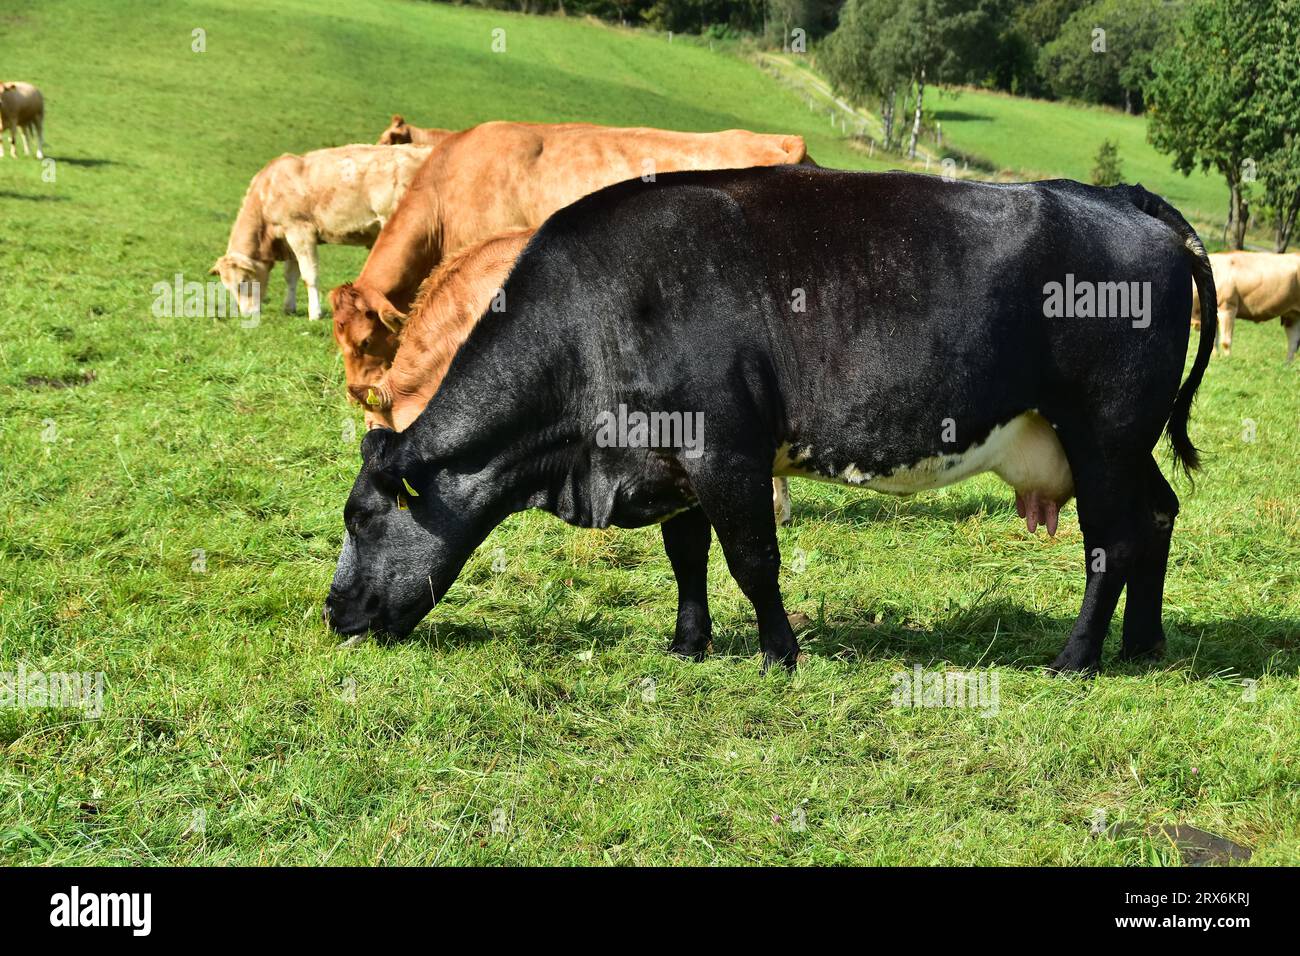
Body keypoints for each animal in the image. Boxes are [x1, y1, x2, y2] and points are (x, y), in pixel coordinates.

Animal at [211, 144, 433, 320]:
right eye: (227, 287)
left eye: (243, 282)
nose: (247, 315)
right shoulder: (288, 238)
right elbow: (291, 275)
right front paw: (289, 307)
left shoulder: (300, 232)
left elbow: (309, 274)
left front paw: (314, 313)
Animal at [324, 168, 1216, 674]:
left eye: (362, 517)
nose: (333, 612)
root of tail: (1121, 200)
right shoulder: (669, 459)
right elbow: (686, 555)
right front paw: (688, 644)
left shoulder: (726, 451)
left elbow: (753, 559)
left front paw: (779, 654)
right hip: (1119, 443)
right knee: (1159, 516)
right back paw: (1145, 643)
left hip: (1104, 432)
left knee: (1114, 541)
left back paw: (1078, 658)